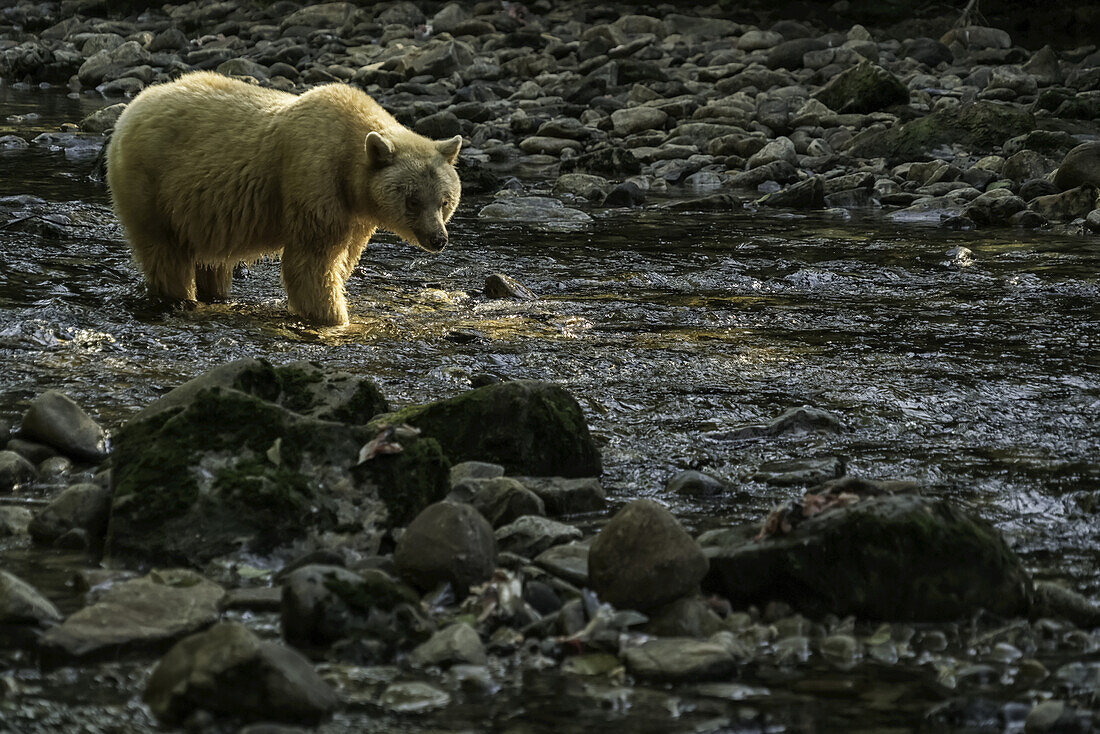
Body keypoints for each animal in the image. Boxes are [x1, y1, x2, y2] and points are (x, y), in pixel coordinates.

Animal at [106, 70, 459, 323]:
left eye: (445, 201)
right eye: (413, 200)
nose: (438, 239)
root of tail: (133, 107)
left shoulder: (356, 214)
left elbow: (343, 258)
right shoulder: (314, 179)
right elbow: (312, 262)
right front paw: (334, 317)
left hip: (200, 211)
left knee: (211, 260)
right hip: (151, 187)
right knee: (165, 254)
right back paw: (181, 298)